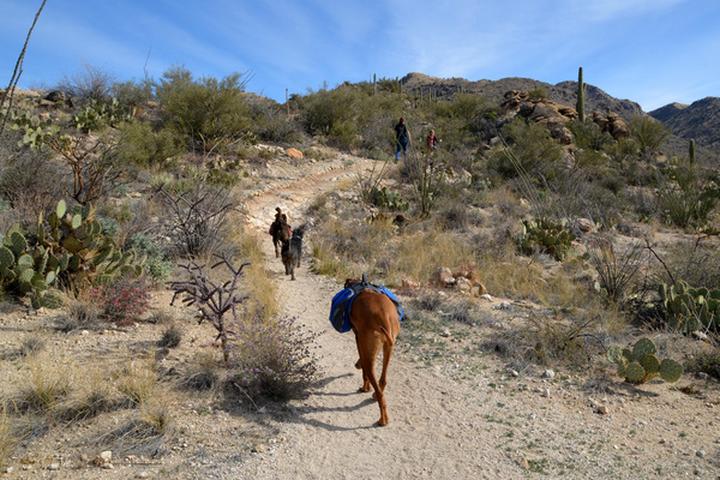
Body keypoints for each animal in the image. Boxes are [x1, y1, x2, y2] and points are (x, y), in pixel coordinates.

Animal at [348, 284, 400, 424]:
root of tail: (384, 317)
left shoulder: (358, 337)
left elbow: (363, 370)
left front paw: (365, 388)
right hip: (389, 347)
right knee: (383, 380)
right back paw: (376, 396)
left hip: (371, 355)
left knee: (372, 377)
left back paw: (383, 419)